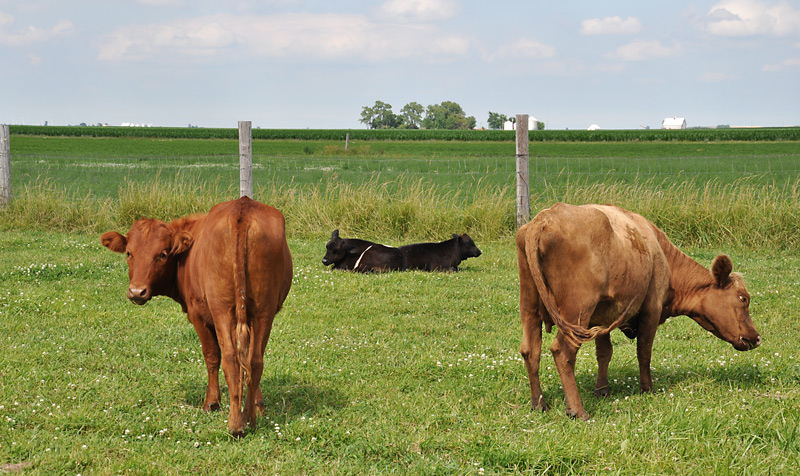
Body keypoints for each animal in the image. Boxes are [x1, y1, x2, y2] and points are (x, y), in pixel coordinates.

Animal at [101, 197, 293, 436]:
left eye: (162, 254)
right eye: (129, 253)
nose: (137, 292)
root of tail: (242, 207)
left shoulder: (198, 315)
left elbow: (212, 356)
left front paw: (212, 403)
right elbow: (250, 362)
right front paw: (258, 405)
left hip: (222, 310)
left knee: (230, 358)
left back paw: (235, 424)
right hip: (263, 310)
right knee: (254, 359)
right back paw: (249, 419)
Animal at [516, 203, 761, 420]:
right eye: (743, 298)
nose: (757, 337)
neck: (661, 254)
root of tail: (545, 217)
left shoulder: (603, 317)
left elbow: (604, 353)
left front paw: (602, 390)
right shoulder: (651, 310)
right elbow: (644, 352)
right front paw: (647, 388)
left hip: (529, 307)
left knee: (530, 350)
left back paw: (539, 403)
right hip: (576, 310)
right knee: (562, 352)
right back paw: (577, 410)